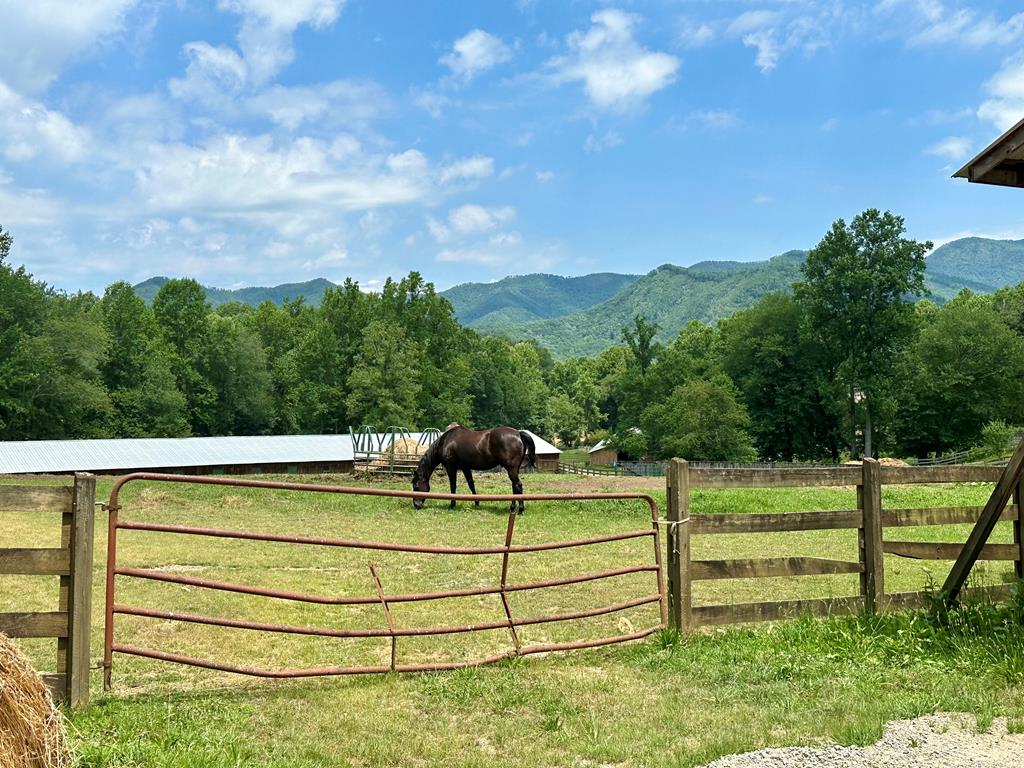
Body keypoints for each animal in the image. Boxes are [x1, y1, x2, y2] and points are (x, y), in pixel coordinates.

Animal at [409, 430, 540, 514]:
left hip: (511, 469)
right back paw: (512, 508)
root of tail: (518, 433)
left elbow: (453, 486)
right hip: (513, 469)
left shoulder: (451, 467)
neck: (446, 442)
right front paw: (477, 503)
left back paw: (520, 510)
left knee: (518, 485)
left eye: (416, 487)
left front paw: (452, 505)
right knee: (515, 487)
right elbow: (471, 485)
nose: (416, 505)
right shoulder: (466, 468)